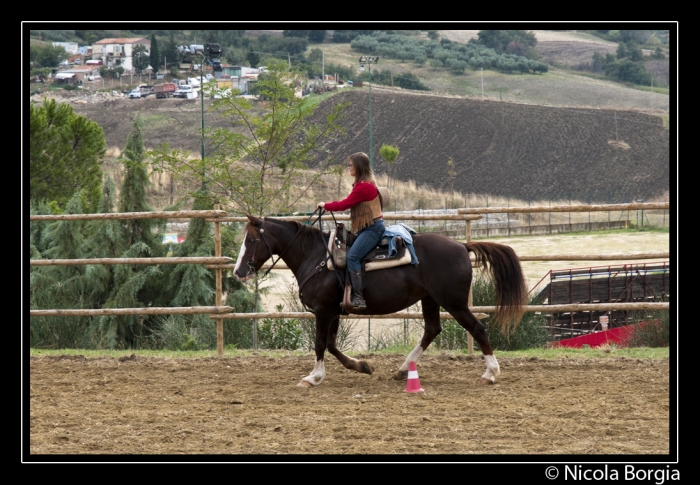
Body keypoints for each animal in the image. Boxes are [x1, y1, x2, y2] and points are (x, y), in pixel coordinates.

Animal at [232, 216, 528, 386]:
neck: (316, 257)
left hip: (454, 302)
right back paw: (402, 370)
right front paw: (362, 366)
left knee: (477, 328)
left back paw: (491, 373)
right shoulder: (334, 311)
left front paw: (313, 377)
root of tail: (461, 246)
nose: (238, 271)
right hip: (430, 300)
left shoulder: (322, 310)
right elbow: (331, 344)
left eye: (252, 239)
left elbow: (319, 344)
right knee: (432, 330)